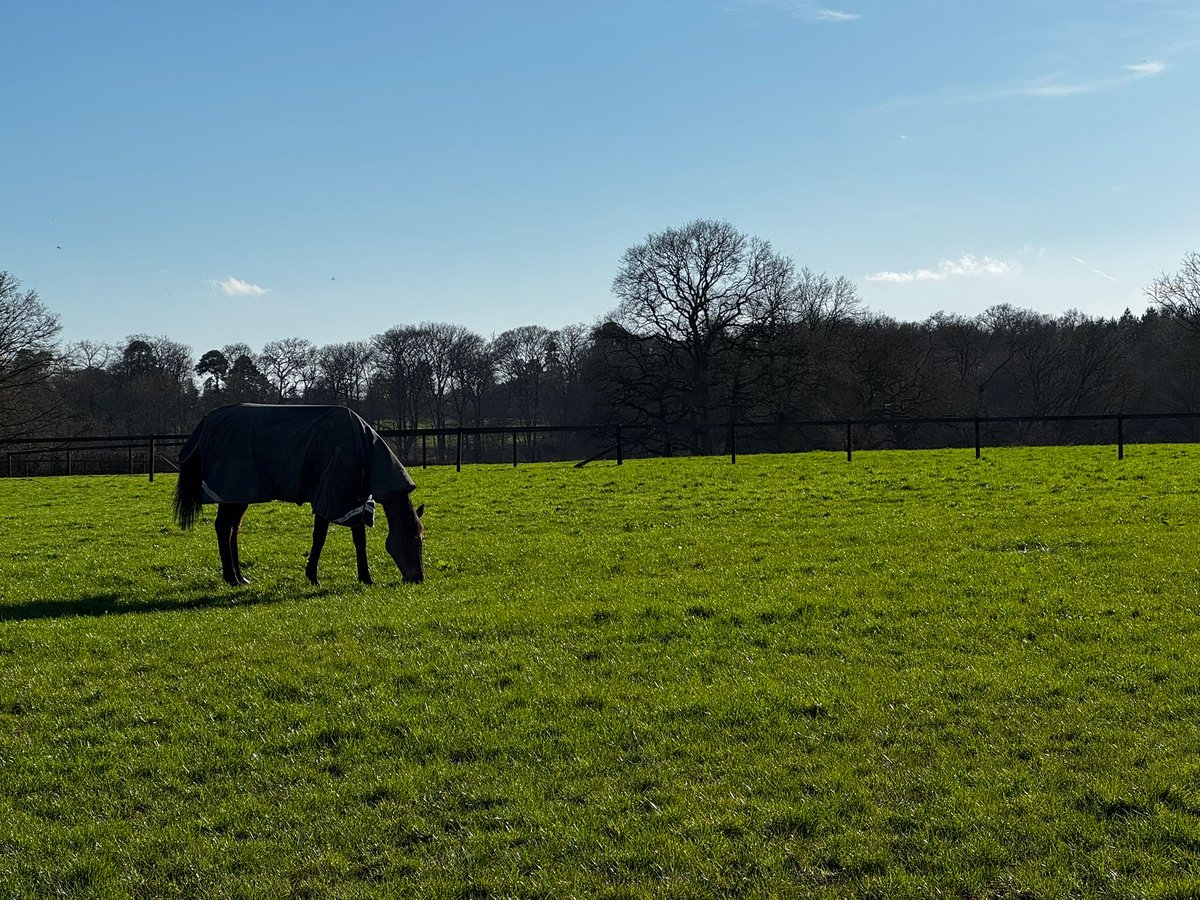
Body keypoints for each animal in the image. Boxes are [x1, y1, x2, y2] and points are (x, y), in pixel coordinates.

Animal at [174, 404, 424, 585]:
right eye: (415, 540)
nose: (418, 578)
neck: (363, 449)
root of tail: (207, 421)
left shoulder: (353, 500)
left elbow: (359, 540)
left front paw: (365, 578)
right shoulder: (329, 497)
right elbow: (319, 538)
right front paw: (313, 576)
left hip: (239, 496)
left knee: (232, 529)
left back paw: (241, 577)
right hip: (232, 493)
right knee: (224, 528)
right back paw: (231, 578)